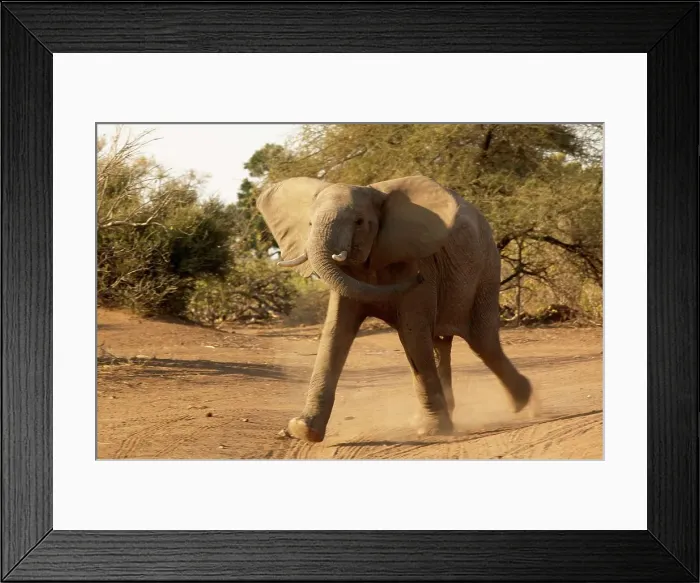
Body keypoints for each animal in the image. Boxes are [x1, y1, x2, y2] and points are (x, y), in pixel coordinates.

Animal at [255, 174, 536, 443]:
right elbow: (335, 332)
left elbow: (413, 334)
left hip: (487, 268)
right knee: (441, 343)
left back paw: (522, 400)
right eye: (310, 225)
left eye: (359, 222)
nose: (418, 279)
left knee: (481, 340)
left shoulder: (418, 261)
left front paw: (433, 431)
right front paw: (303, 430)